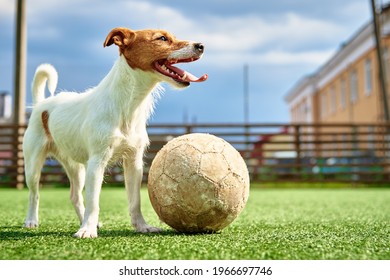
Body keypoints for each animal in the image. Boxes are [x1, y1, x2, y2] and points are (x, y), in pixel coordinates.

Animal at [22, 26, 207, 237]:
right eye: (162, 38)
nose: (201, 45)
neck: (128, 105)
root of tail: (41, 104)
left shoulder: (134, 162)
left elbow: (135, 201)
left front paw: (141, 226)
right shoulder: (97, 162)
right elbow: (94, 201)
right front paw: (87, 230)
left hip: (76, 166)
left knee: (75, 196)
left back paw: (85, 220)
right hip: (33, 164)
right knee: (34, 194)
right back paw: (32, 221)